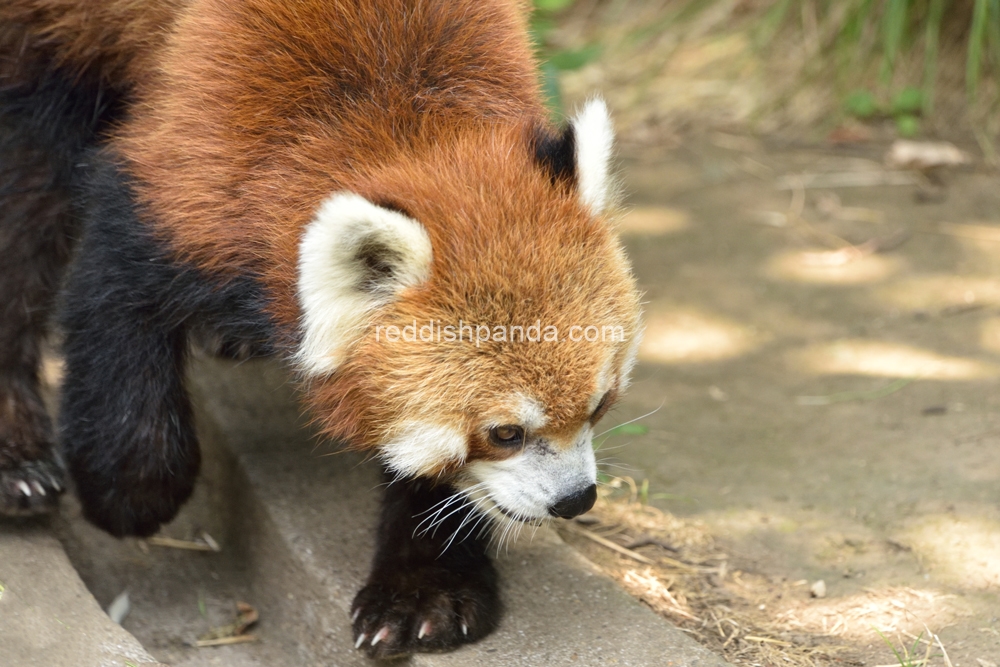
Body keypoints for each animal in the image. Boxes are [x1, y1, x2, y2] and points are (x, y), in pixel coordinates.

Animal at [0, 0, 640, 656]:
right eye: (505, 433)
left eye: (599, 406)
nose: (575, 499)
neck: (400, 114)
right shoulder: (187, 165)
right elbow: (113, 297)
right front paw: (131, 490)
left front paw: (425, 588)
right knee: (24, 201)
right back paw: (19, 463)